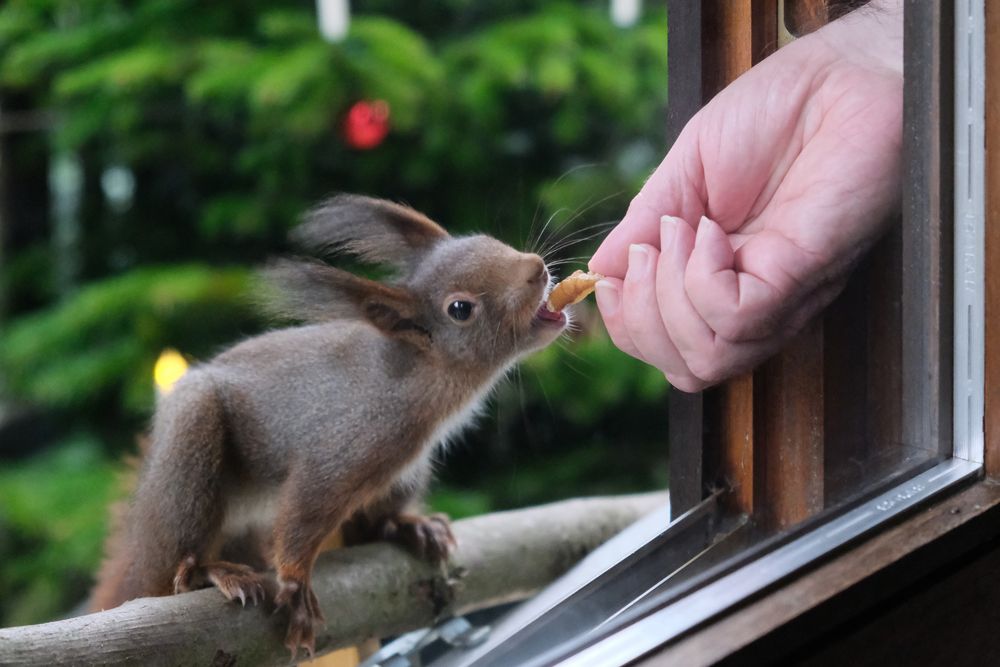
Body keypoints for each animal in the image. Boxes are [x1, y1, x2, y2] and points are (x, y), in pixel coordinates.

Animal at [88, 194, 572, 656]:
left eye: (487, 240)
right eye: (460, 309)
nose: (536, 268)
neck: (421, 376)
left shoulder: (403, 464)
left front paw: (406, 525)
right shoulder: (345, 446)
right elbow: (305, 510)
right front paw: (295, 581)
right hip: (190, 447)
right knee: (176, 565)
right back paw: (207, 572)